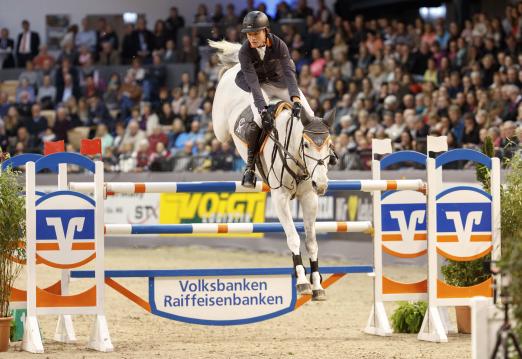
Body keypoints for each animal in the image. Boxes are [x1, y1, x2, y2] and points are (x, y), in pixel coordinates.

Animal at [208, 40, 334, 300]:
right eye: (306, 144)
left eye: (329, 145)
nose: (321, 185)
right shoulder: (280, 198)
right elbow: (293, 238)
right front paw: (302, 282)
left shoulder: (309, 198)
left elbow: (312, 241)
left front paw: (317, 285)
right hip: (221, 124)